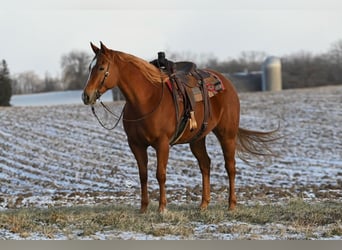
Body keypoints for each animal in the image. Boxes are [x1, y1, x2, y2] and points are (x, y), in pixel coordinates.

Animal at [83, 41, 278, 213]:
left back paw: (231, 205)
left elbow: (160, 174)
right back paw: (203, 205)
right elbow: (143, 175)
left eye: (101, 68)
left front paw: (162, 208)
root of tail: (226, 83)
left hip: (227, 134)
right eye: (90, 68)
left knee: (230, 167)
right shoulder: (136, 145)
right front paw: (143, 209)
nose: (86, 96)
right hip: (197, 139)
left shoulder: (162, 144)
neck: (146, 100)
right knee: (205, 164)